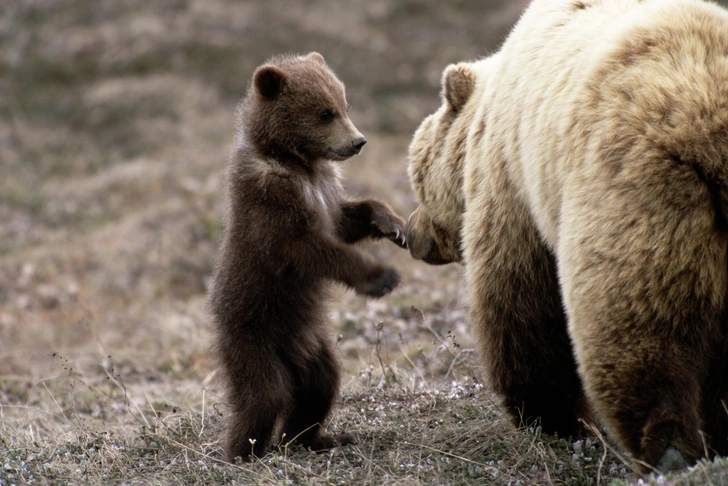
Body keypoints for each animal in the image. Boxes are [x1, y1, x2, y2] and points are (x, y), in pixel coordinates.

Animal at [406, 0, 728, 474]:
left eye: (416, 179)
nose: (410, 233)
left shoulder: (514, 183)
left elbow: (521, 306)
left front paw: (553, 420)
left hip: (640, 193)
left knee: (635, 324)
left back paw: (667, 450)